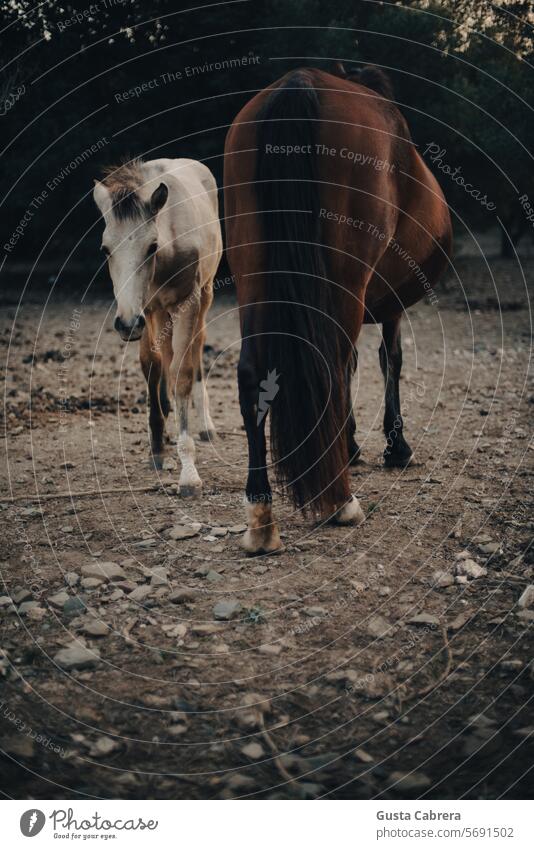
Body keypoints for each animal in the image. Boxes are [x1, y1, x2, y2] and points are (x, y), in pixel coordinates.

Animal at [224, 68, 454, 556]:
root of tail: (301, 83)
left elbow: (354, 367)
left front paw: (351, 445)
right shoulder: (390, 307)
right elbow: (388, 361)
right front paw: (395, 446)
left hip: (251, 268)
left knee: (253, 372)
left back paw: (261, 517)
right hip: (346, 279)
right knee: (329, 363)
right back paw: (340, 502)